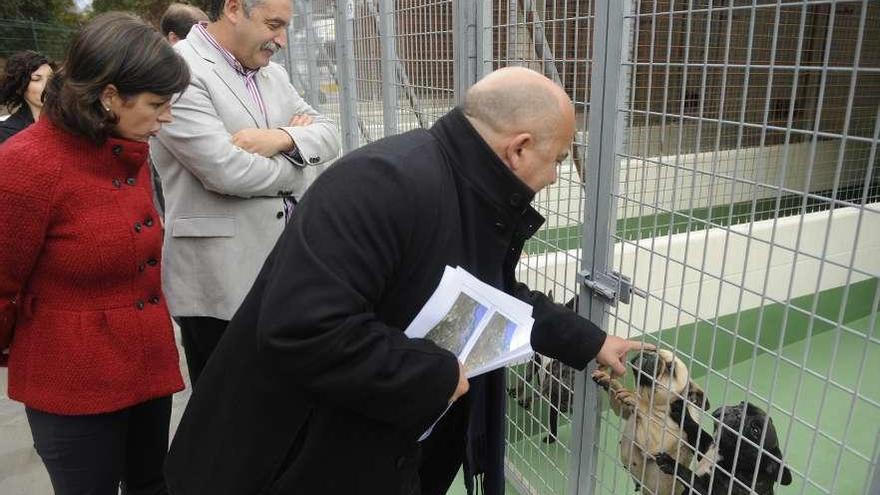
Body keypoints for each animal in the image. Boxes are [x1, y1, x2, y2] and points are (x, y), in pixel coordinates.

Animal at [588, 350, 712, 494]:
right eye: (654, 350)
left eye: (670, 368)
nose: (650, 354)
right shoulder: (625, 410)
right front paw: (609, 380)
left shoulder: (657, 440)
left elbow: (644, 409)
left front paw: (635, 399)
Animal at [652, 402, 792, 494]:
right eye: (742, 404)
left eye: (755, 431)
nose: (738, 413)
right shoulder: (706, 448)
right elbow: (696, 430)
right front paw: (682, 413)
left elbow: (691, 477)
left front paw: (671, 463)